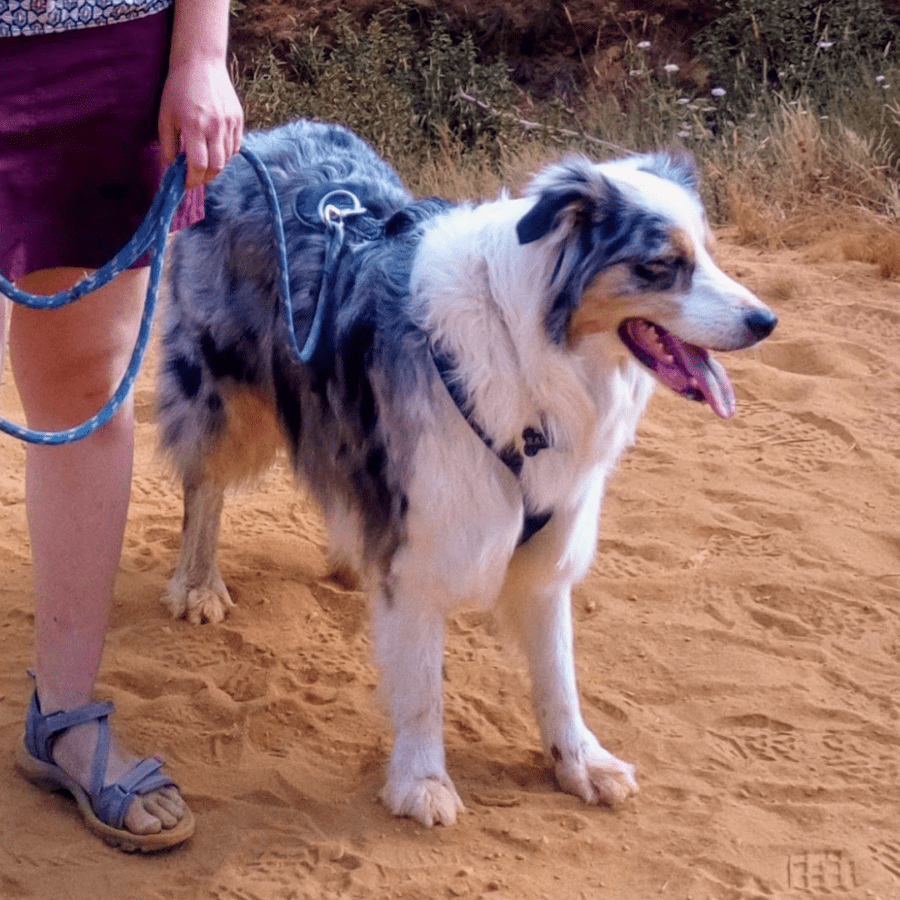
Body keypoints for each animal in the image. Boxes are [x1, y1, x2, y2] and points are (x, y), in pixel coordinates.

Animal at [158, 116, 776, 828]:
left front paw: (580, 762)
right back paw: (198, 586)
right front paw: (421, 782)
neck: (531, 353)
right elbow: (424, 684)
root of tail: (263, 137)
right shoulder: (428, 536)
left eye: (709, 254)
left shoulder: (549, 541)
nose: (766, 321)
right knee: (205, 486)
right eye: (660, 266)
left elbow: (559, 676)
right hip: (223, 391)